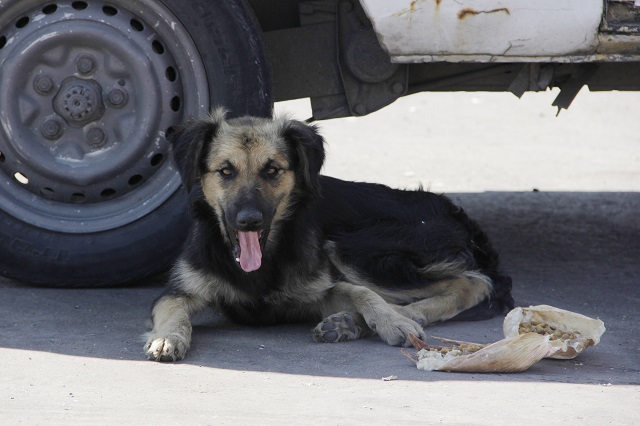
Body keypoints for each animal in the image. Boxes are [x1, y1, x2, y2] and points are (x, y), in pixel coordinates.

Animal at [145, 108, 516, 362]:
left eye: (272, 170)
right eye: (225, 171)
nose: (249, 220)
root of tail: (457, 215)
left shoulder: (317, 290)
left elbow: (359, 292)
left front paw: (392, 321)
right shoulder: (179, 291)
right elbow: (172, 312)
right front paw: (167, 337)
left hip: (354, 249)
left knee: (473, 283)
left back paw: (397, 315)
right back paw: (348, 324)